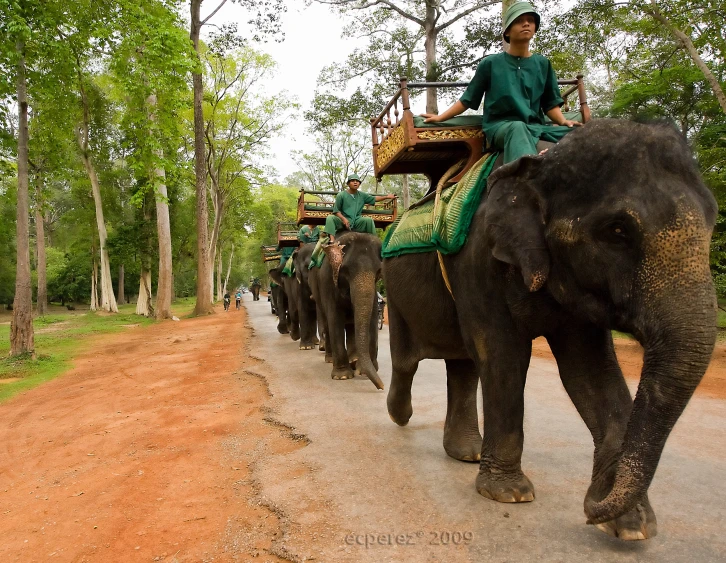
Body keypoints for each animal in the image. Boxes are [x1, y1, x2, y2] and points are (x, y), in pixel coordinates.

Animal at [310, 231, 386, 390]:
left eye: (378, 272)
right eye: (345, 271)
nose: (381, 387)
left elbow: (372, 320)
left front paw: (362, 371)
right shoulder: (329, 284)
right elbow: (335, 319)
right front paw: (342, 376)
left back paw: (353, 359)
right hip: (317, 290)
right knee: (327, 322)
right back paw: (331, 359)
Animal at [384, 121, 720, 544]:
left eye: (713, 220)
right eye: (617, 230)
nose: (590, 510)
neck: (544, 160)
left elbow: (589, 371)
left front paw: (632, 527)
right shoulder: (478, 259)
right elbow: (503, 354)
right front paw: (509, 494)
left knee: (463, 364)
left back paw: (467, 453)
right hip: (393, 289)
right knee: (407, 360)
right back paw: (399, 414)